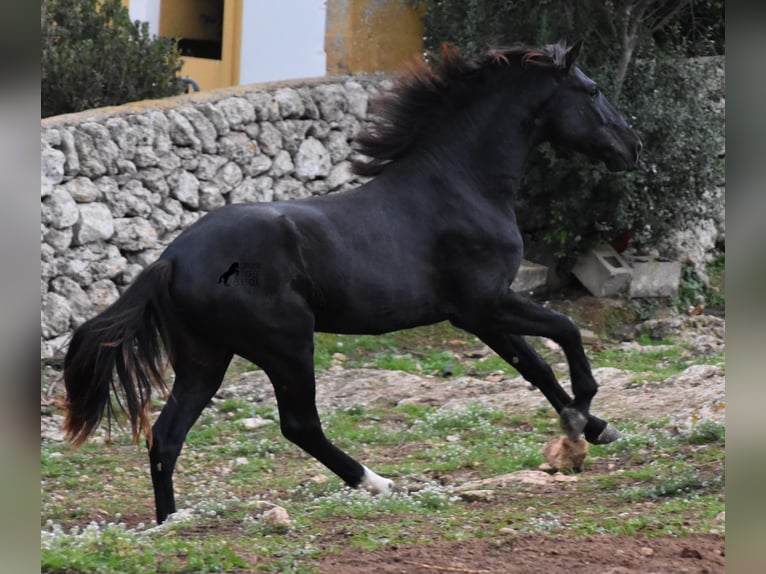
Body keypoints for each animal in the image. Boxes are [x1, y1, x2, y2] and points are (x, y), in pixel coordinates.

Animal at [64, 41, 640, 528]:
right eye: (592, 90)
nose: (631, 148)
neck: (460, 186)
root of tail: (172, 259)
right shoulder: (487, 304)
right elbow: (565, 332)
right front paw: (578, 423)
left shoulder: (478, 316)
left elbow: (535, 367)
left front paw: (595, 429)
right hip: (286, 343)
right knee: (299, 425)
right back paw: (377, 482)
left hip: (205, 357)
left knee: (166, 435)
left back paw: (171, 522)